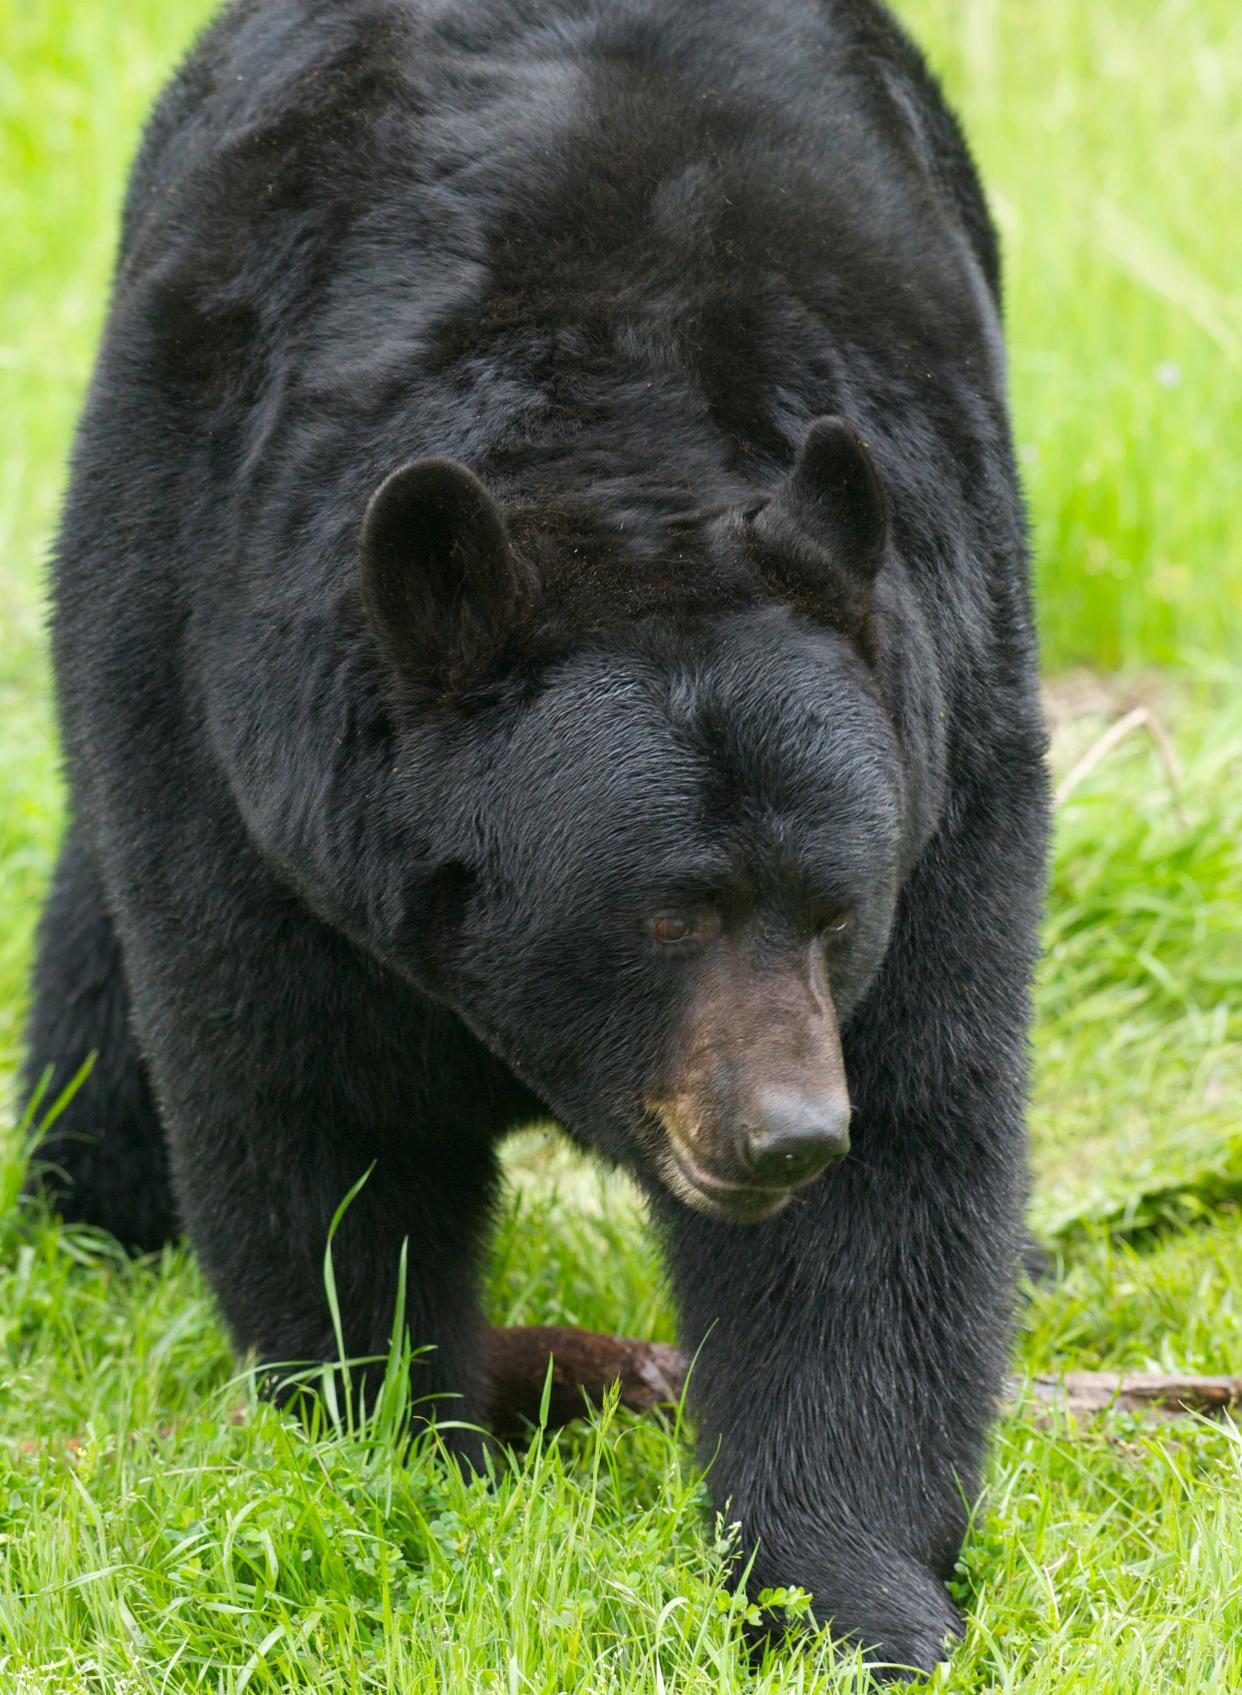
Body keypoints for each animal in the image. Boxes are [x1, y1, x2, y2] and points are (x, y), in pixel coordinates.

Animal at [21, 0, 1043, 1667]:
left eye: (834, 910)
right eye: (667, 910)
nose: (782, 1127)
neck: (614, 439)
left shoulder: (943, 739)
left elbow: (893, 1174)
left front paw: (850, 1595)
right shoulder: (245, 743)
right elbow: (317, 1119)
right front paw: (397, 1465)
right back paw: (91, 1196)